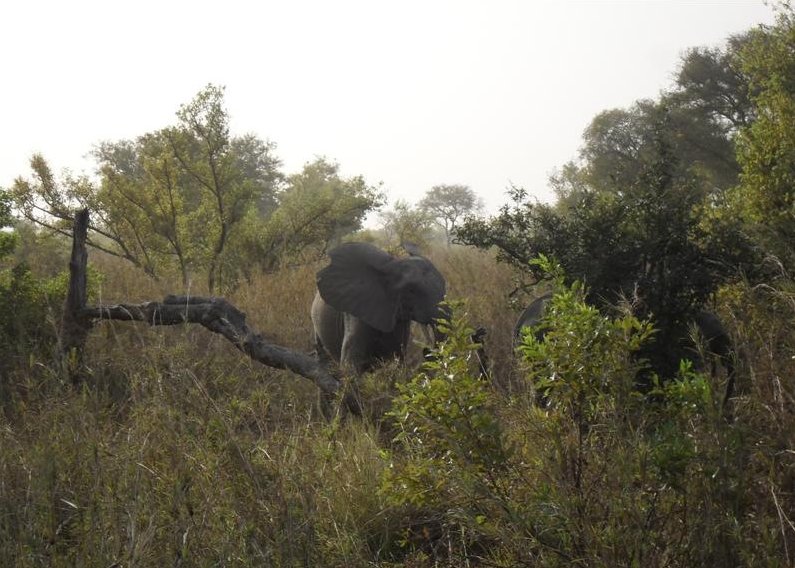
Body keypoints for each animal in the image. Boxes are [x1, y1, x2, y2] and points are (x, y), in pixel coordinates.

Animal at [310, 241, 448, 378]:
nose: (426, 350)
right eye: (410, 291)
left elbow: (396, 359)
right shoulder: (358, 310)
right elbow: (350, 365)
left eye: (444, 284)